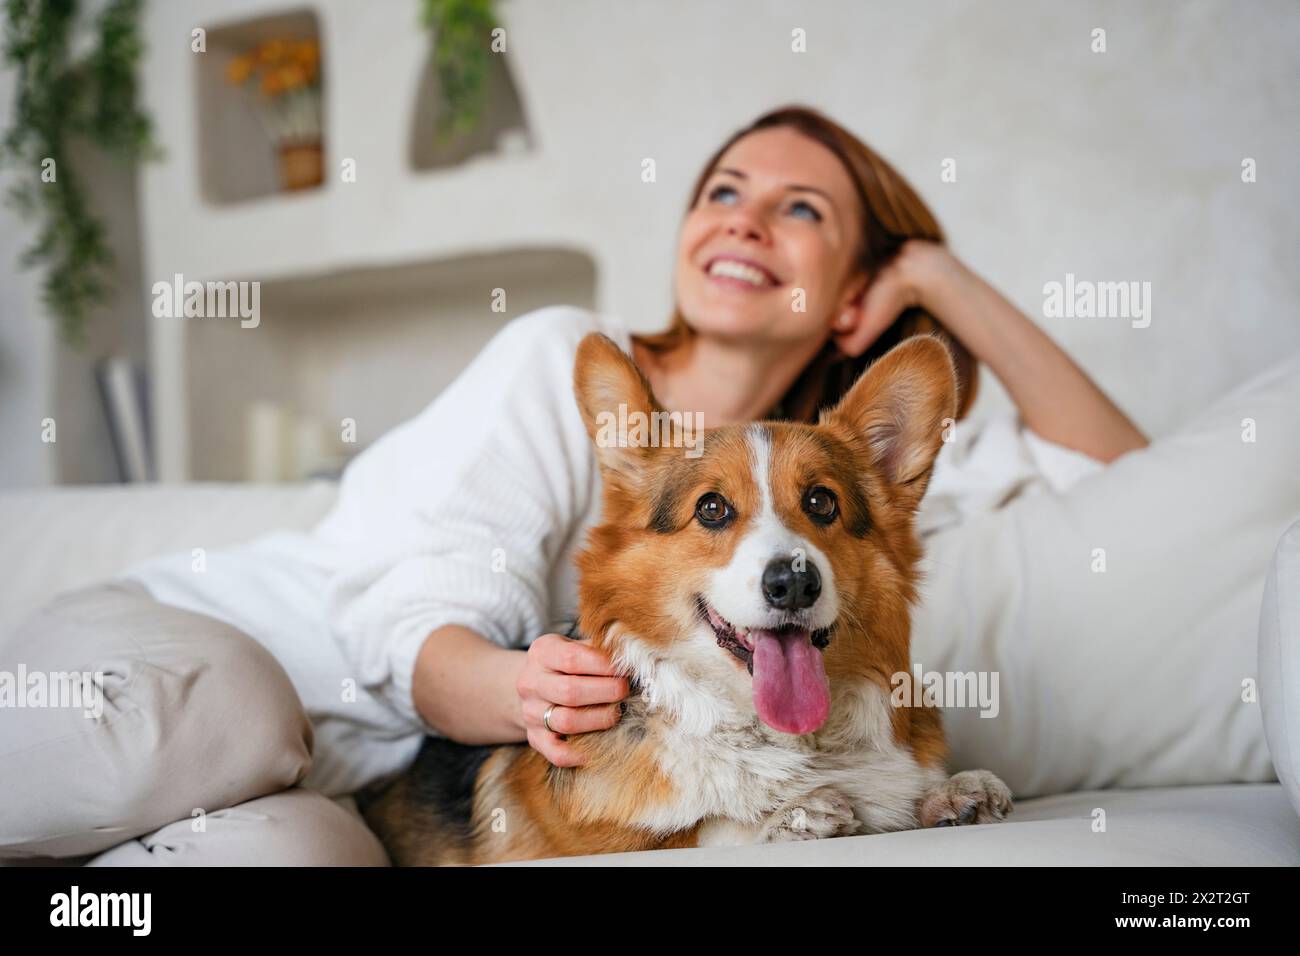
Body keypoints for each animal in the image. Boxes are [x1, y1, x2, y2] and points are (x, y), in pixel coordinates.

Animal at [364, 332, 1013, 863]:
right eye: (712, 508)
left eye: (822, 502)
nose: (793, 582)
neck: (777, 736)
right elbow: (700, 830)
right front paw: (793, 815)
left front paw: (945, 795)